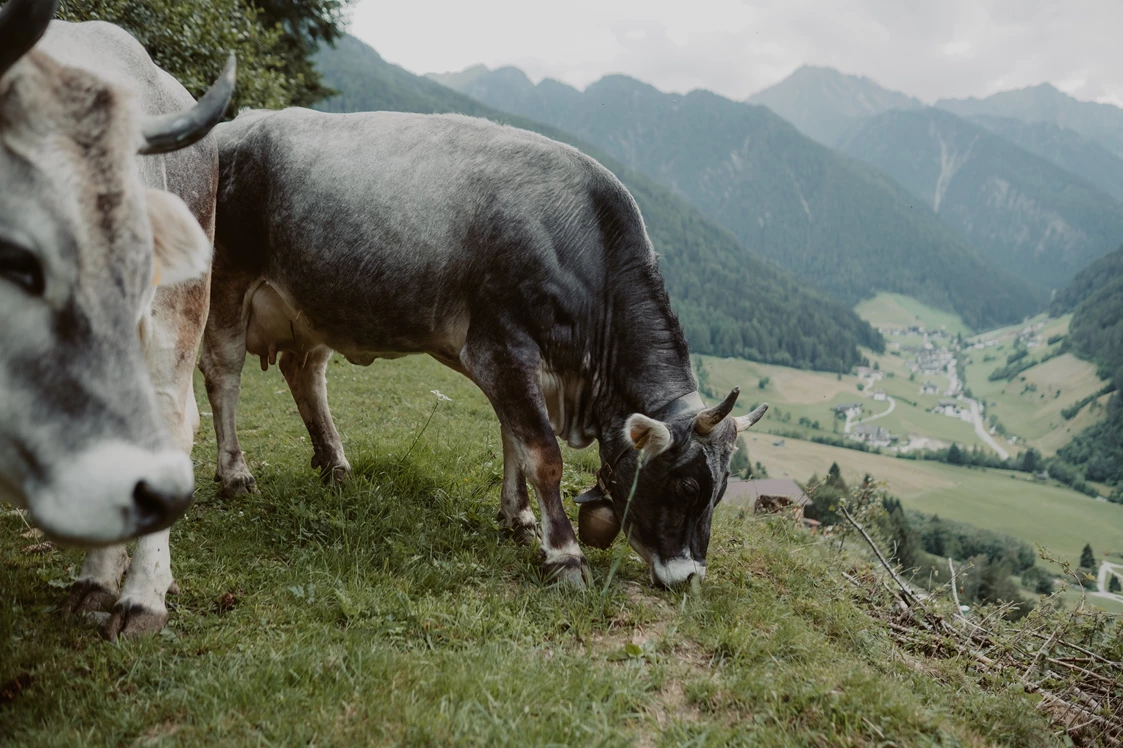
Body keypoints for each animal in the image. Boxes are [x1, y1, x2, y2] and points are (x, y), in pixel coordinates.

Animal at [204, 107, 763, 584]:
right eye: (687, 486)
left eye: (721, 493)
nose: (689, 577)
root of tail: (237, 124)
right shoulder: (501, 348)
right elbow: (543, 453)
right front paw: (565, 555)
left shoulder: (523, 368)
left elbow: (512, 438)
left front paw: (518, 518)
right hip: (227, 278)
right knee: (222, 371)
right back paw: (235, 474)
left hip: (313, 306)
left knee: (305, 372)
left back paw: (334, 464)